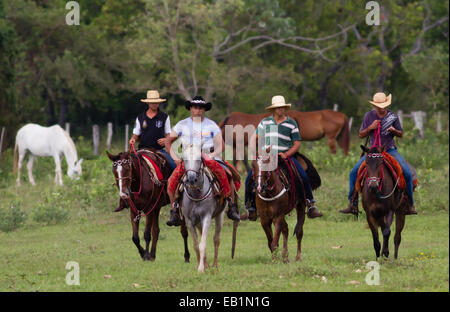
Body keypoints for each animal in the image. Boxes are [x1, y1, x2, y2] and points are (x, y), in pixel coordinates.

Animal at [220, 109, 350, 172]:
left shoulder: (240, 144)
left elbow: (243, 159)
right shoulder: (236, 145)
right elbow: (237, 159)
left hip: (331, 137)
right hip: (338, 138)